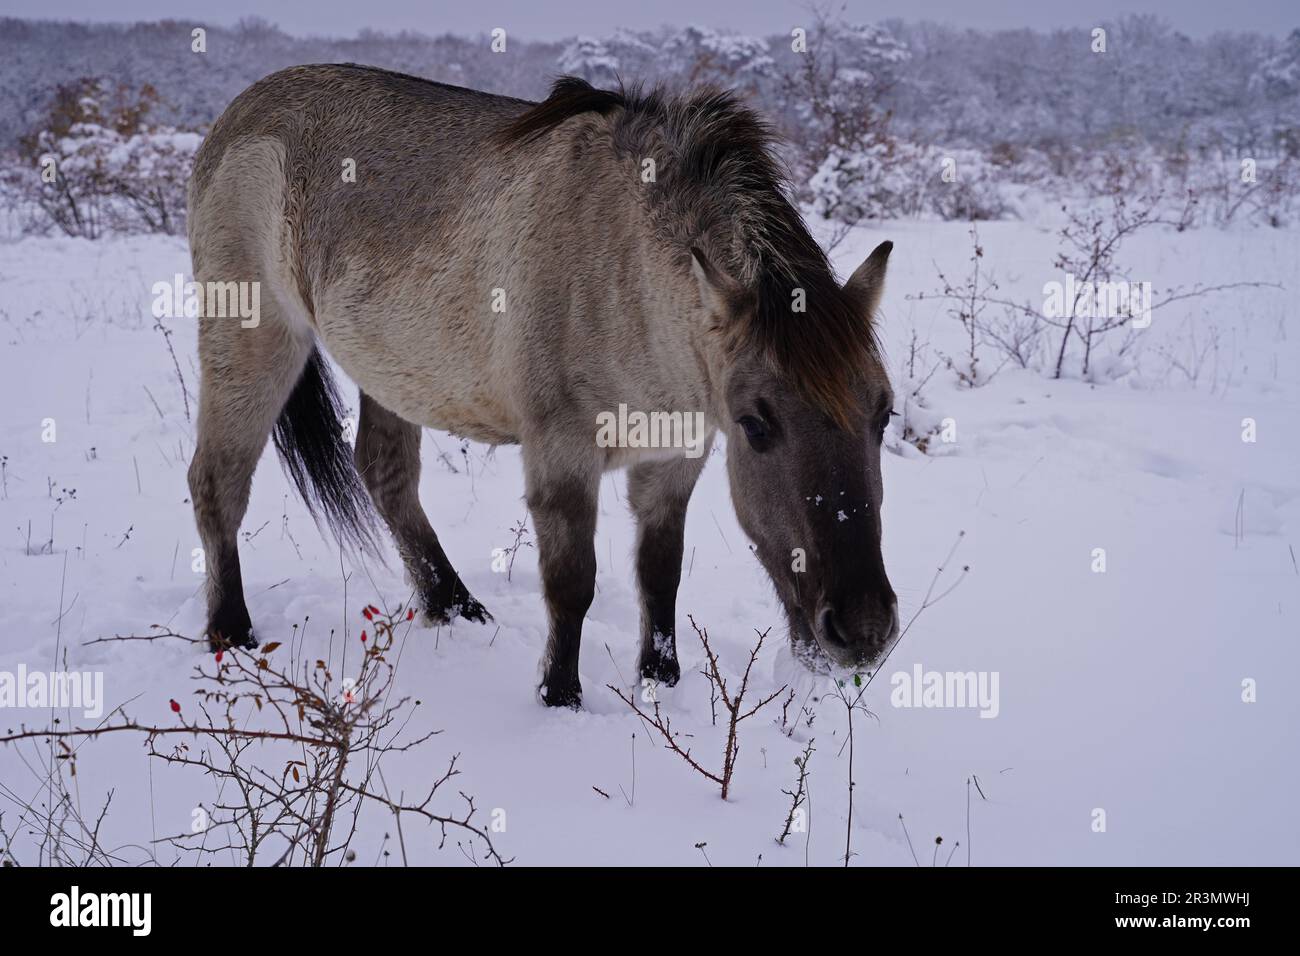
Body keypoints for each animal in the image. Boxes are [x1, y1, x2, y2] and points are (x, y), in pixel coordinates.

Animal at [188, 63, 899, 707]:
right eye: (755, 424)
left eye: (884, 415)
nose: (862, 628)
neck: (624, 270)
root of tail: (236, 116)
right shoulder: (563, 451)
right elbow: (571, 583)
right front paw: (560, 697)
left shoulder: (675, 456)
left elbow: (660, 573)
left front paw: (661, 681)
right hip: (253, 339)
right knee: (217, 480)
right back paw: (231, 633)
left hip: (392, 372)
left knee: (385, 474)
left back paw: (453, 606)